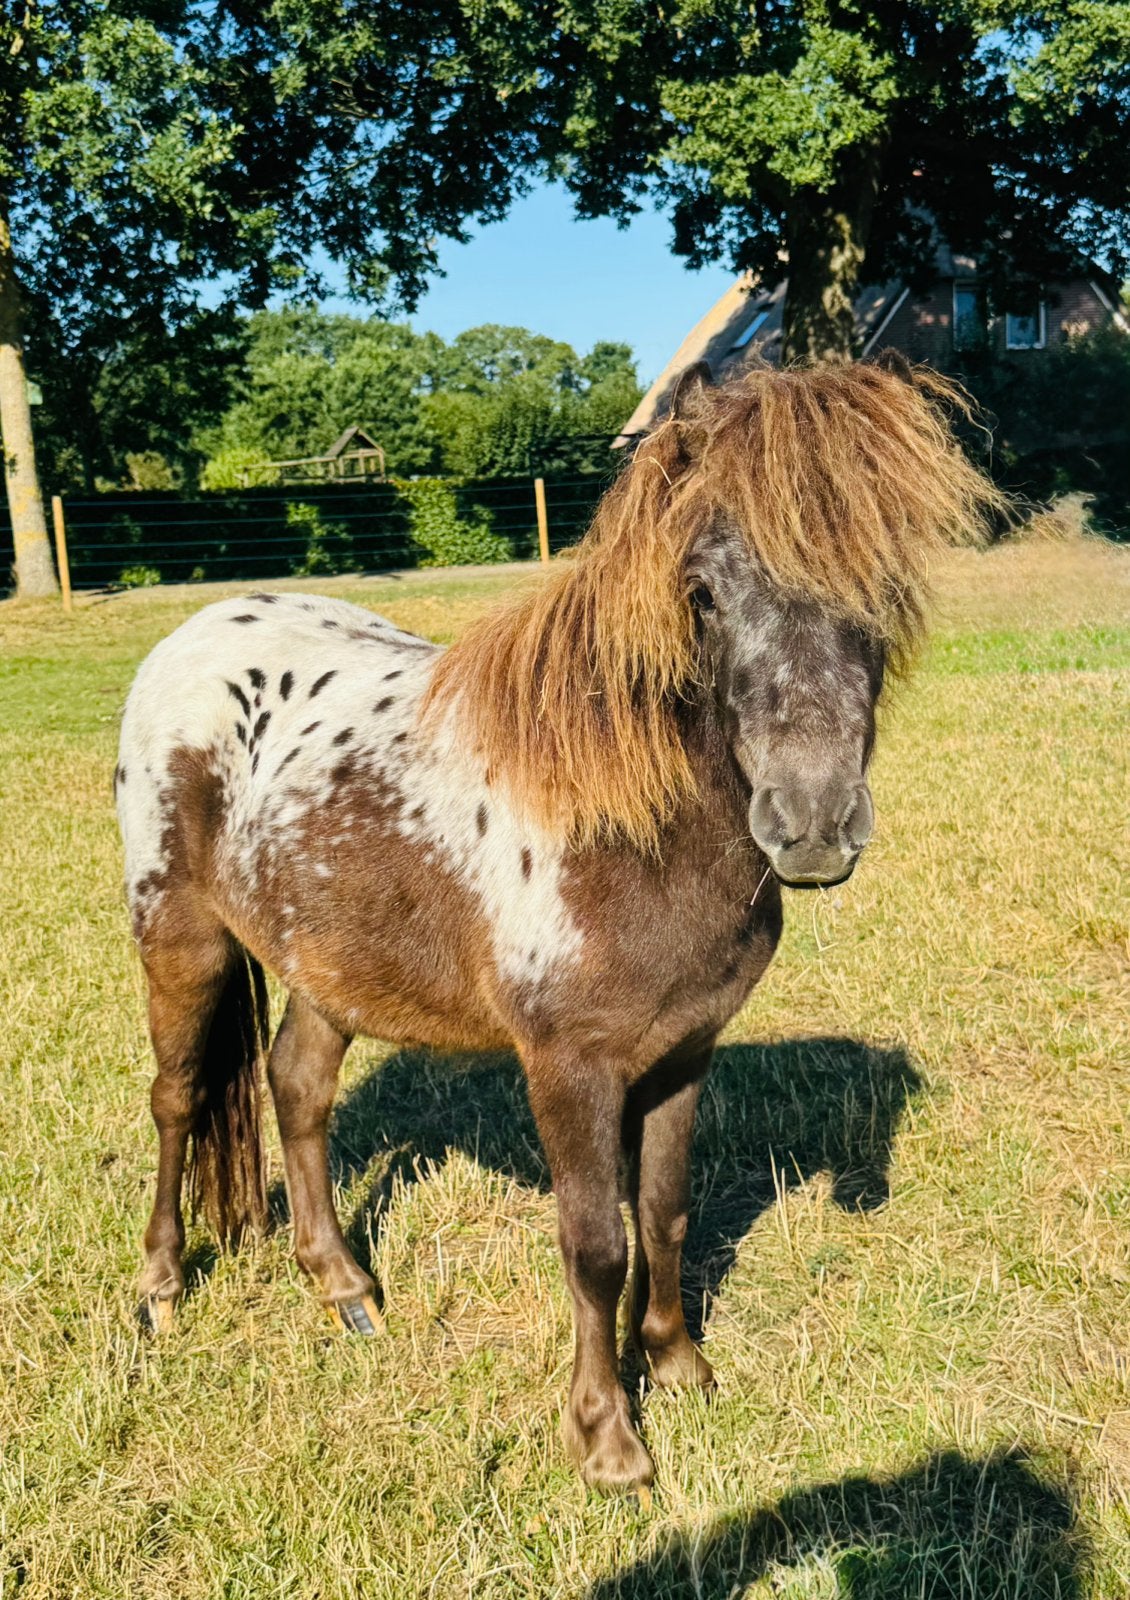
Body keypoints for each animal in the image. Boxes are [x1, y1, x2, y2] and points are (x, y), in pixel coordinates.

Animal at [116, 359, 1000, 1497]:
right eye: (702, 592)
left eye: (884, 588)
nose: (810, 822)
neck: (621, 823)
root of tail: (193, 635)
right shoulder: (569, 1068)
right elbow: (594, 1242)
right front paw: (607, 1438)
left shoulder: (682, 1052)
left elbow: (663, 1210)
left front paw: (677, 1365)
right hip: (180, 938)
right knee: (178, 1098)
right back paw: (161, 1286)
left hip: (330, 961)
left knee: (297, 1087)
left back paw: (344, 1287)